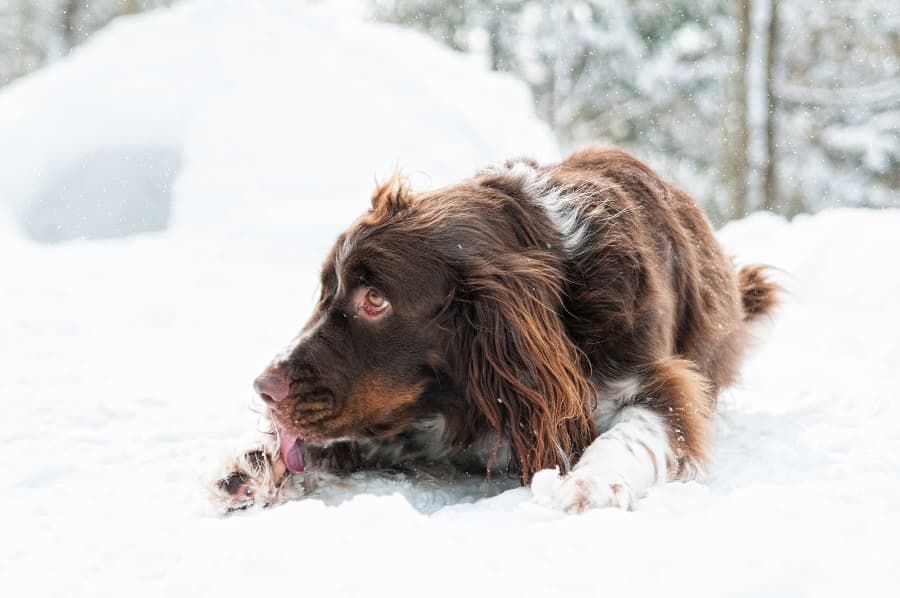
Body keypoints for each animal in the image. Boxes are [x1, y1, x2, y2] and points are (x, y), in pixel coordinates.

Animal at [207, 146, 776, 516]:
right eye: (326, 292)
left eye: (375, 300)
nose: (264, 388)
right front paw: (255, 464)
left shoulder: (660, 378)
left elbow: (639, 430)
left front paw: (590, 482)